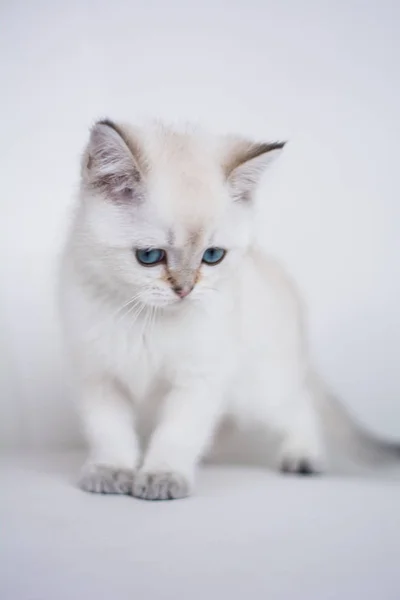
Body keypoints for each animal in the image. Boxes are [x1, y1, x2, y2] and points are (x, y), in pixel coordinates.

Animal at [60, 119, 400, 500]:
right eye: (149, 256)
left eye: (212, 256)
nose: (184, 290)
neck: (145, 318)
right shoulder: (98, 376)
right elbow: (110, 431)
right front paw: (111, 470)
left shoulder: (198, 378)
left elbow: (176, 433)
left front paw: (163, 476)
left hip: (261, 390)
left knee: (300, 406)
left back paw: (303, 458)